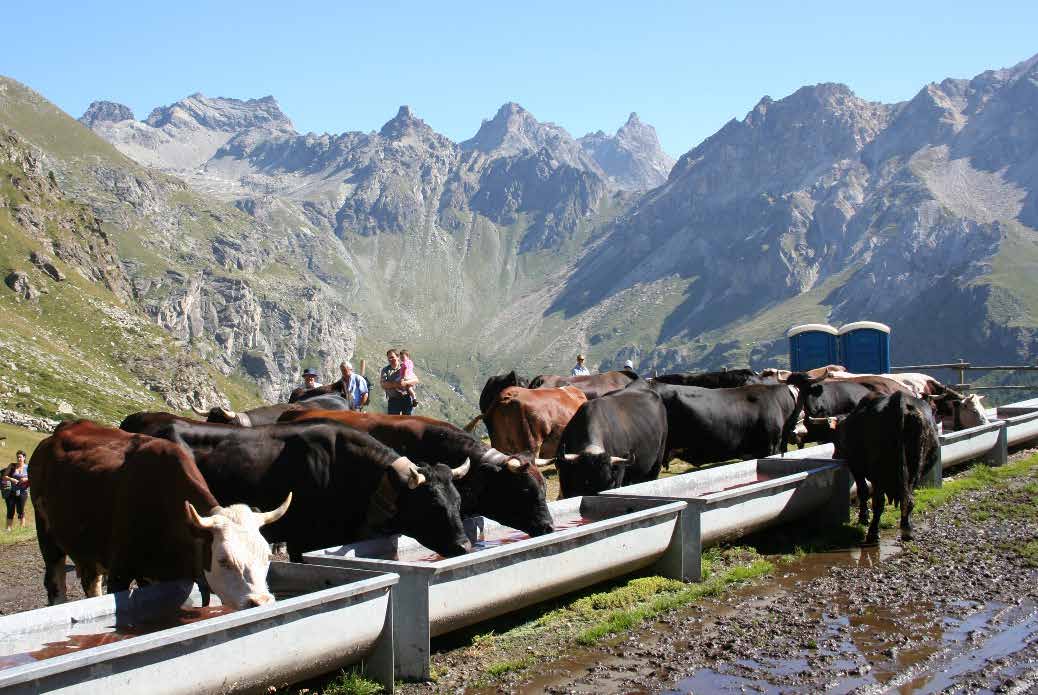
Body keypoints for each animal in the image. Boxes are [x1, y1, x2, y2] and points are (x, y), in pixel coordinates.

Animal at [30, 419, 290, 609]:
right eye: (223, 560)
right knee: (55, 583)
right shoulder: (120, 571)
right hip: (46, 534)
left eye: (267, 555)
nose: (261, 601)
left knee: (90, 582)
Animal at [834, 394, 942, 547]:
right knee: (908, 500)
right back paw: (907, 530)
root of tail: (900, 400)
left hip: (878, 474)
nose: (834, 455)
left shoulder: (856, 467)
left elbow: (863, 491)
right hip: (915, 472)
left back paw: (873, 534)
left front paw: (863, 518)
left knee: (879, 502)